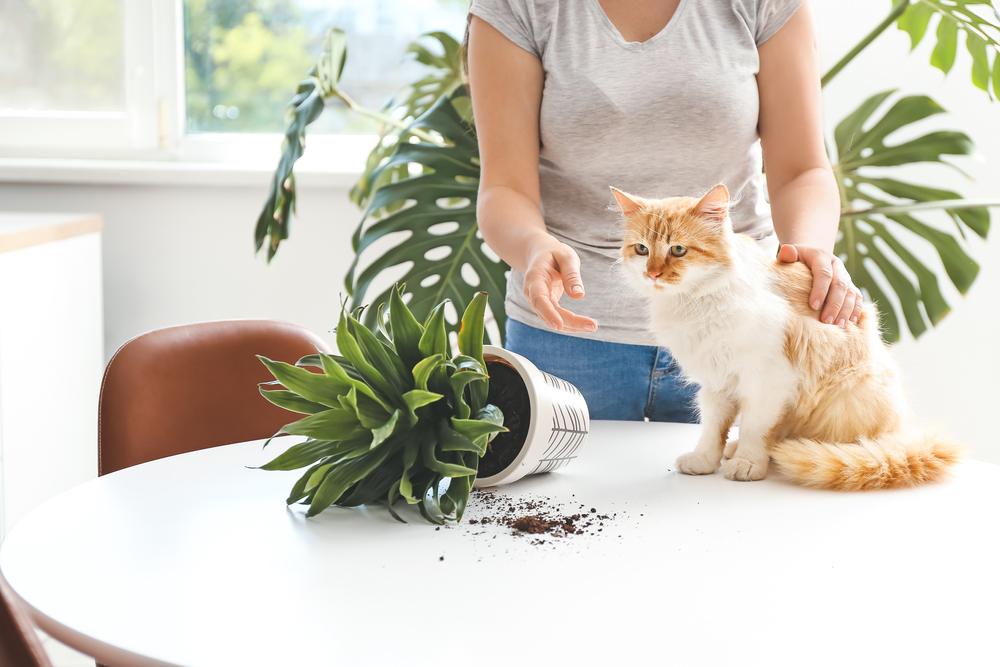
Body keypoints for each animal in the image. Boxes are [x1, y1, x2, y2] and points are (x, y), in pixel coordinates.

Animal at [612, 184, 956, 490]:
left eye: (678, 250)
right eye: (642, 249)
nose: (652, 274)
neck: (694, 302)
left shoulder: (768, 379)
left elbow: (755, 428)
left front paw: (748, 464)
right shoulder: (716, 382)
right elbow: (713, 428)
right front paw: (705, 460)